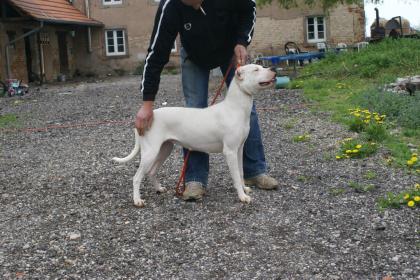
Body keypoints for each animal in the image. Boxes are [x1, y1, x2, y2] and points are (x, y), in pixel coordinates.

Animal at [113, 64, 276, 207]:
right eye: (256, 69)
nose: (273, 69)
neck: (235, 109)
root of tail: (147, 117)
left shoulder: (239, 149)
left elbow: (241, 172)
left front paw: (245, 189)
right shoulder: (230, 152)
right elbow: (235, 175)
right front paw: (242, 196)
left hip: (165, 149)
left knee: (151, 171)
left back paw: (159, 189)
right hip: (150, 152)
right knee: (136, 177)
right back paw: (137, 200)